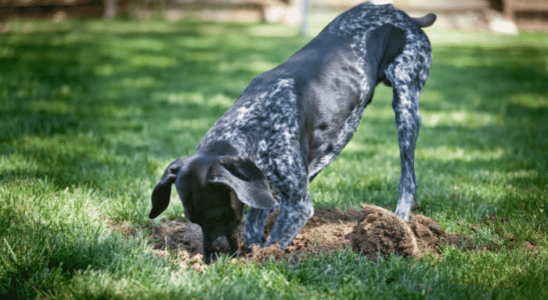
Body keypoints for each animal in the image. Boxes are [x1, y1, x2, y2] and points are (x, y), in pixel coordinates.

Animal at [149, 2, 436, 264]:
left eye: (221, 216)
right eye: (193, 221)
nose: (213, 260)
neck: (250, 124)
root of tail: (405, 16)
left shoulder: (297, 206)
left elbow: (272, 243)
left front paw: (259, 260)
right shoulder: (261, 185)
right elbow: (255, 229)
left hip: (406, 103)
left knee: (408, 178)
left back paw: (400, 223)